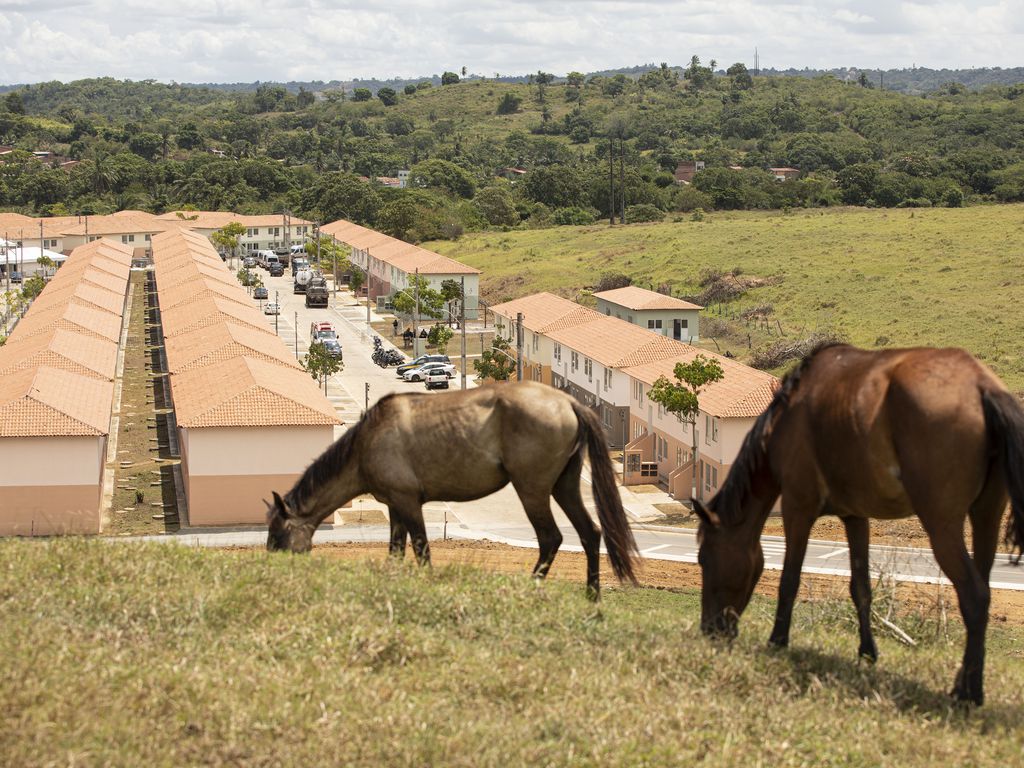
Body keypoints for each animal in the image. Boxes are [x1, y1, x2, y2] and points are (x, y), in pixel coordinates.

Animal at [268, 385, 634, 602]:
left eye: (279, 534)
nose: (274, 570)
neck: (367, 442)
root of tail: (568, 403)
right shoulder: (395, 507)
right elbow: (396, 551)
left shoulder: (408, 503)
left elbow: (421, 551)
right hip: (564, 486)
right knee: (590, 533)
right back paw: (592, 595)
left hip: (532, 489)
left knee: (551, 538)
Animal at [696, 346, 1024, 708]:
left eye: (704, 560)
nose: (710, 630)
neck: (785, 419)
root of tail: (981, 386)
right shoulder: (855, 517)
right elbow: (861, 587)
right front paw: (867, 652)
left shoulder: (798, 507)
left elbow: (789, 580)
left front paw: (777, 641)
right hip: (986, 516)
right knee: (983, 590)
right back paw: (961, 684)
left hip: (943, 526)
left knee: (974, 596)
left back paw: (970, 693)